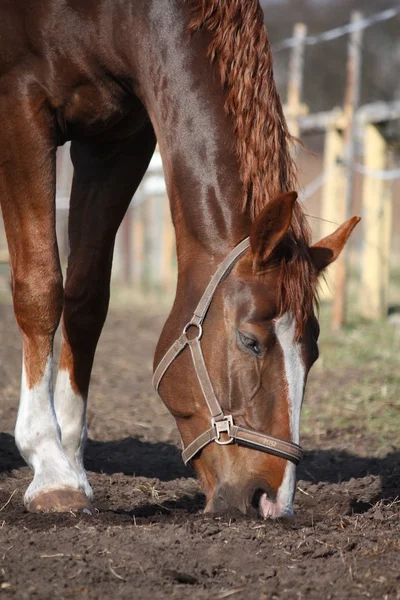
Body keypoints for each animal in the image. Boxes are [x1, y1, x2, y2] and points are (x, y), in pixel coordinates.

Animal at [0, 0, 360, 516]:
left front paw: (72, 458)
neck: (113, 17)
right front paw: (52, 469)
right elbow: (40, 288)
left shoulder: (117, 142)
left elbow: (86, 300)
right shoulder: (20, 105)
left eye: (312, 352)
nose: (272, 503)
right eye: (250, 342)